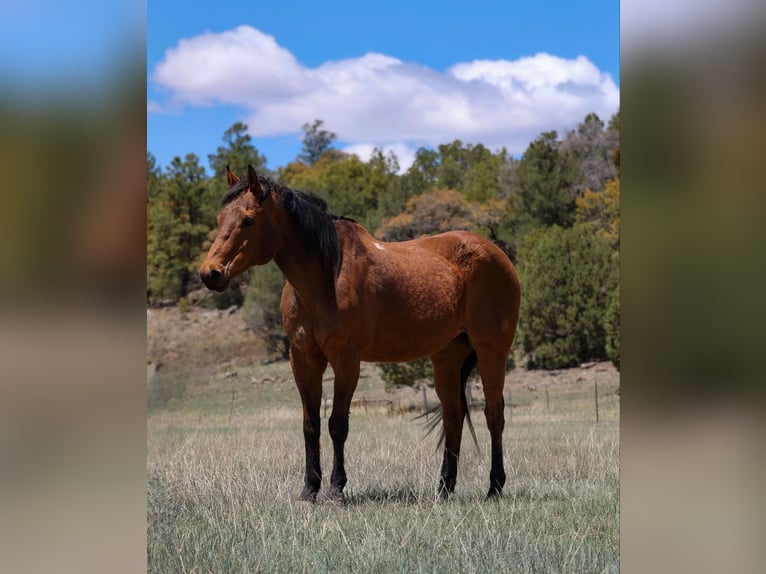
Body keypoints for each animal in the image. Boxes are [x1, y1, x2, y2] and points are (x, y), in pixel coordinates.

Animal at [199, 165, 521, 502]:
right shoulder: (303, 359)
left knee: (494, 414)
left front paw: (337, 489)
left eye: (248, 219)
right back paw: (444, 488)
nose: (211, 273)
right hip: (447, 357)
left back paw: (495, 486)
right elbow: (310, 425)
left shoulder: (346, 359)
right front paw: (308, 490)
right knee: (453, 416)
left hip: (491, 352)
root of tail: (498, 254)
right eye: (221, 219)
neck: (326, 278)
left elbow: (337, 424)